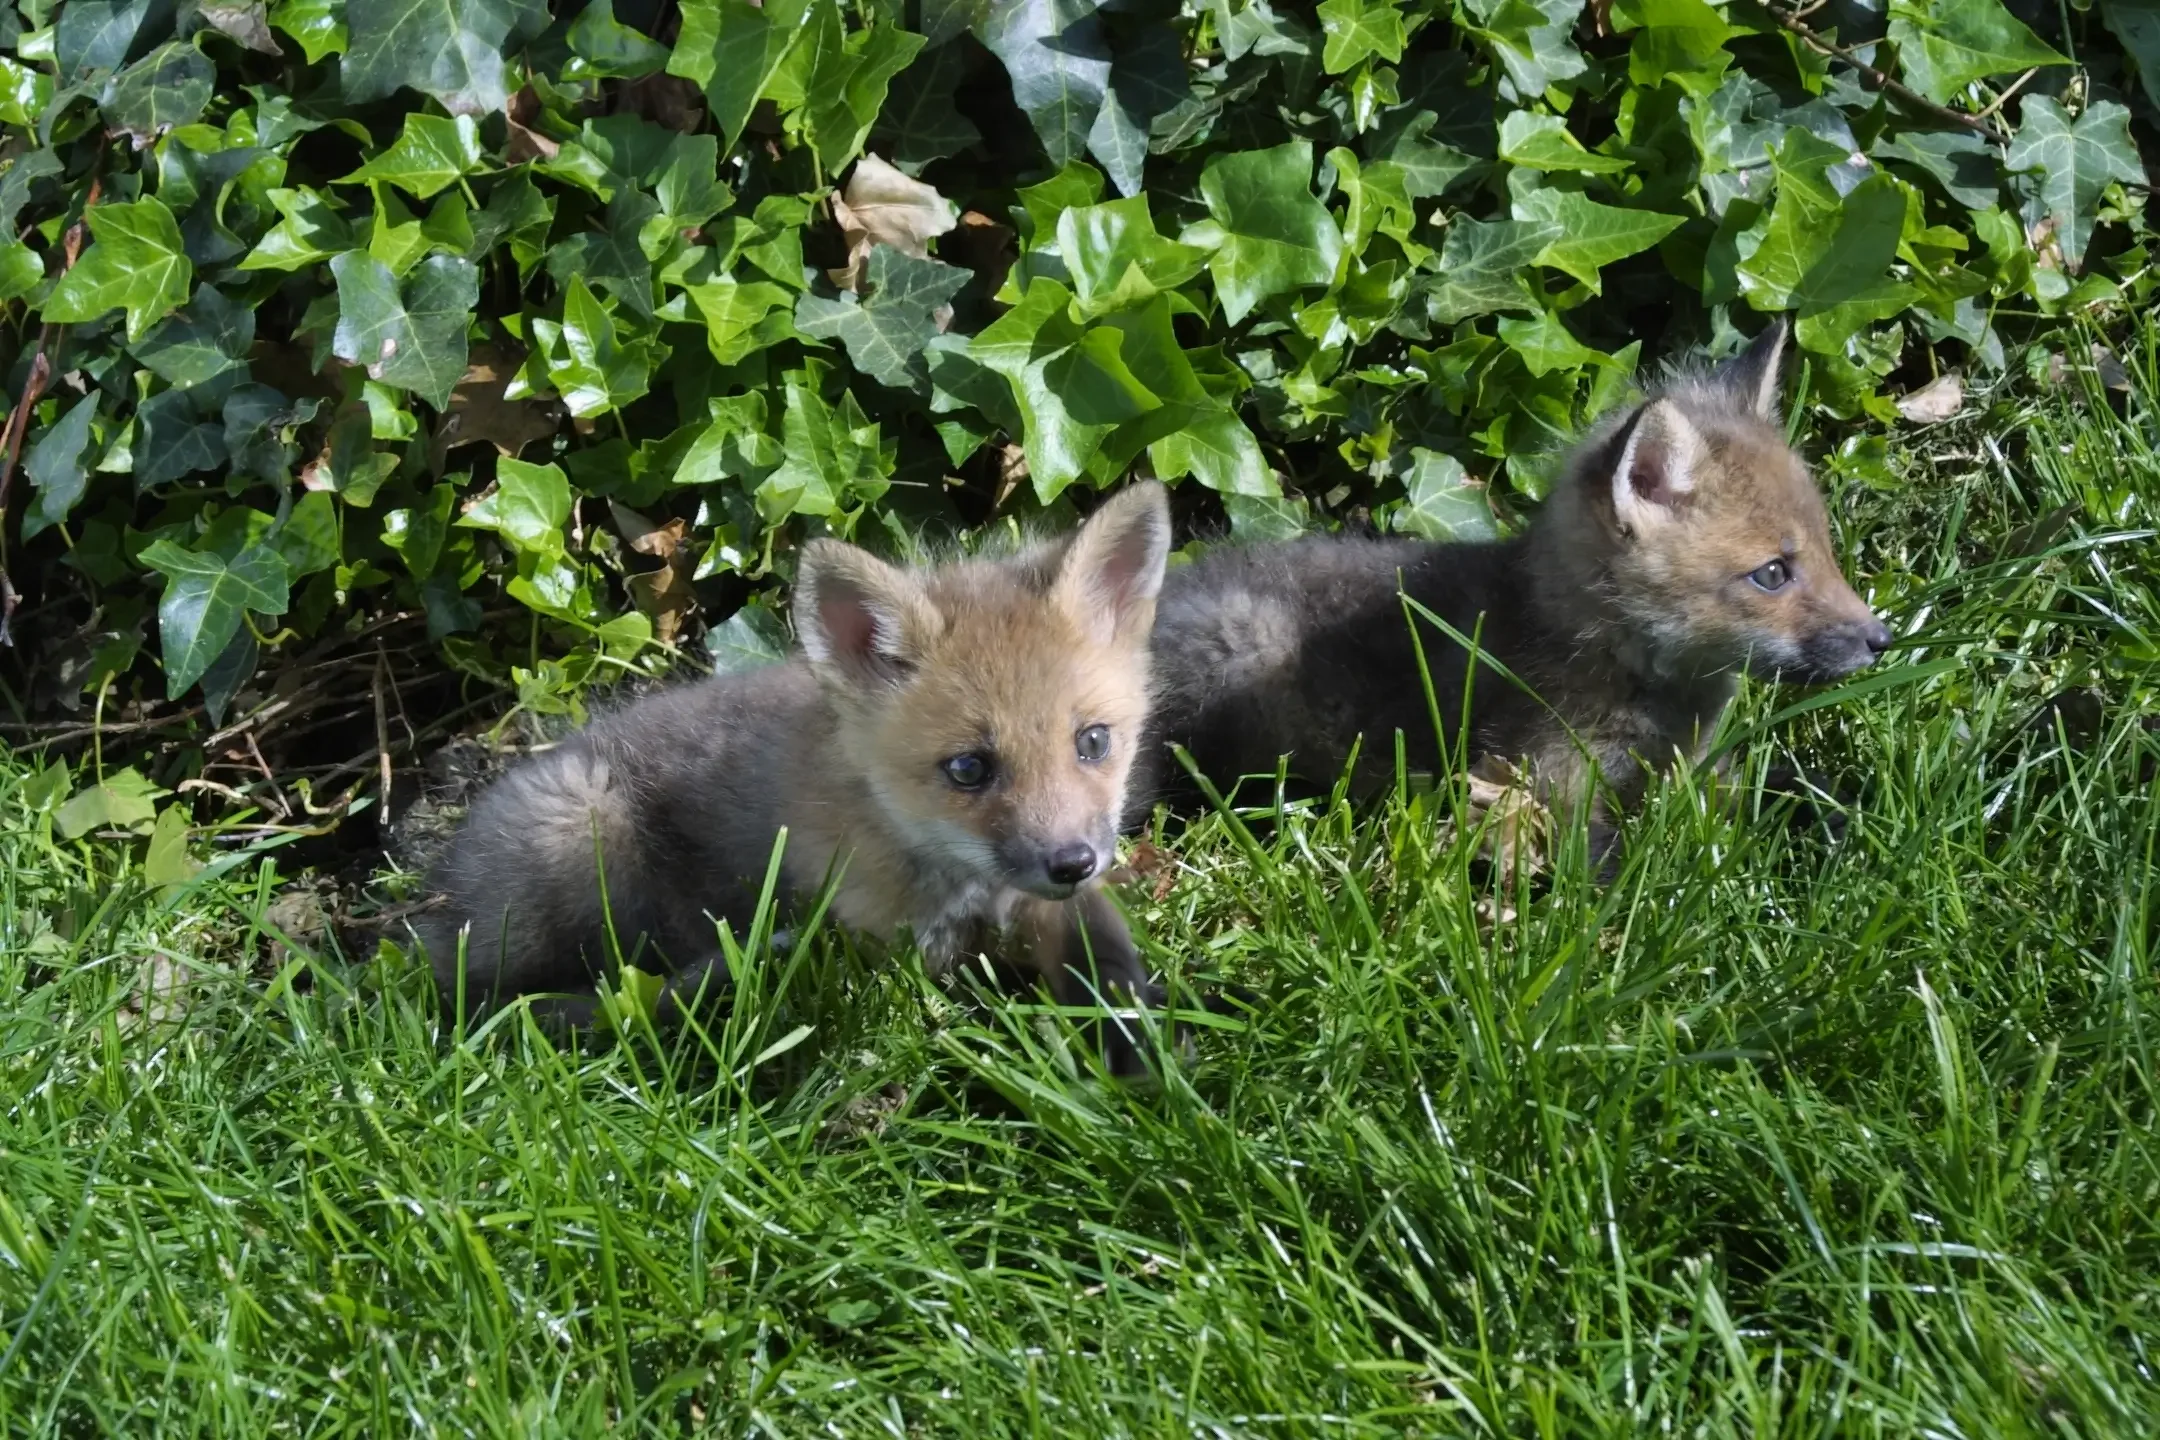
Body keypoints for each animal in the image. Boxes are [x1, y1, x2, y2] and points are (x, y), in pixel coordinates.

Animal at [418, 482, 1175, 1063]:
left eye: (1093, 742)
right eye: (968, 768)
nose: (1072, 861)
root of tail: (433, 916)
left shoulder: (1045, 906)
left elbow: (1103, 956)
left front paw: (1143, 1051)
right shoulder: (898, 949)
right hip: (582, 830)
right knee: (529, 1005)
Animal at [1133, 318, 1893, 857]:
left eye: (1828, 552)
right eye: (1773, 573)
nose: (1881, 640)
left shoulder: (1701, 773)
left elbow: (1799, 788)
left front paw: (1851, 817)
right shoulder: (1540, 781)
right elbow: (1610, 868)